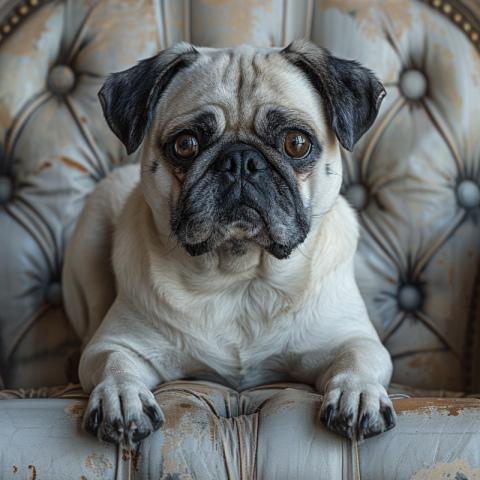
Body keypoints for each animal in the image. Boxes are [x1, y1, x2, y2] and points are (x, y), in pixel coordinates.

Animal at [62, 39, 394, 448]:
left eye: (296, 143)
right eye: (186, 144)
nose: (240, 160)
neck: (240, 275)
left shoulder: (353, 339)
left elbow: (357, 358)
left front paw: (358, 392)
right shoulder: (117, 344)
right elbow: (114, 361)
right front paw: (121, 397)